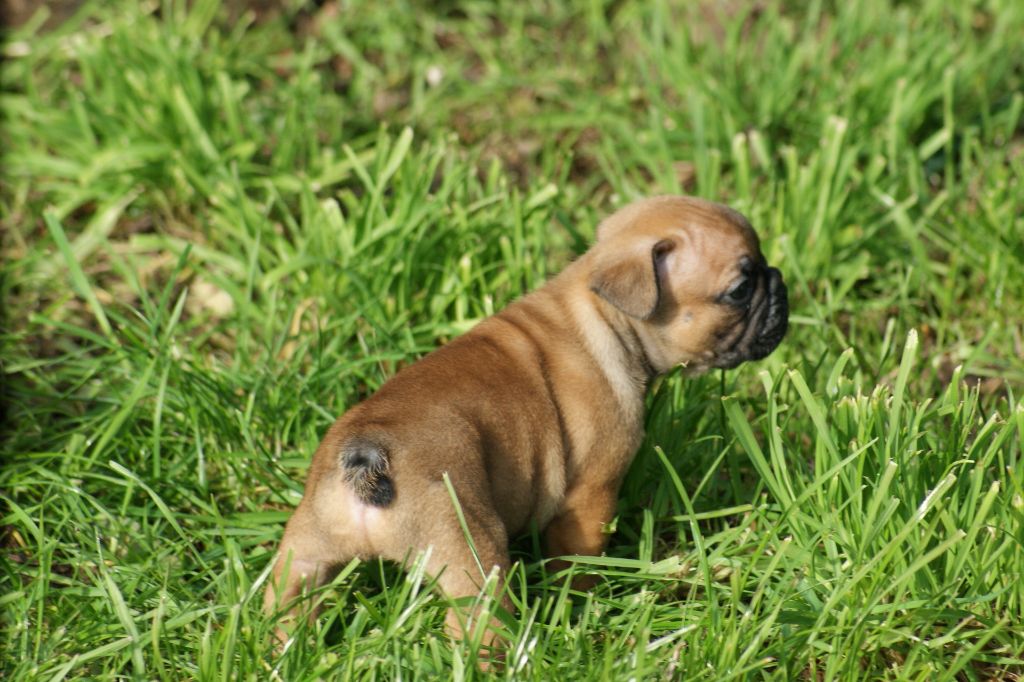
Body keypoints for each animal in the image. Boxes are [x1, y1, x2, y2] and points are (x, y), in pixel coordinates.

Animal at [262, 193, 782, 647]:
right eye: (739, 291)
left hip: (304, 551)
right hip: (469, 549)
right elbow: (577, 556)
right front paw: (581, 602)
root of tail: (368, 453)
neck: (602, 313)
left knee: (286, 601)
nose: (779, 282)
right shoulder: (592, 492)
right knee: (478, 619)